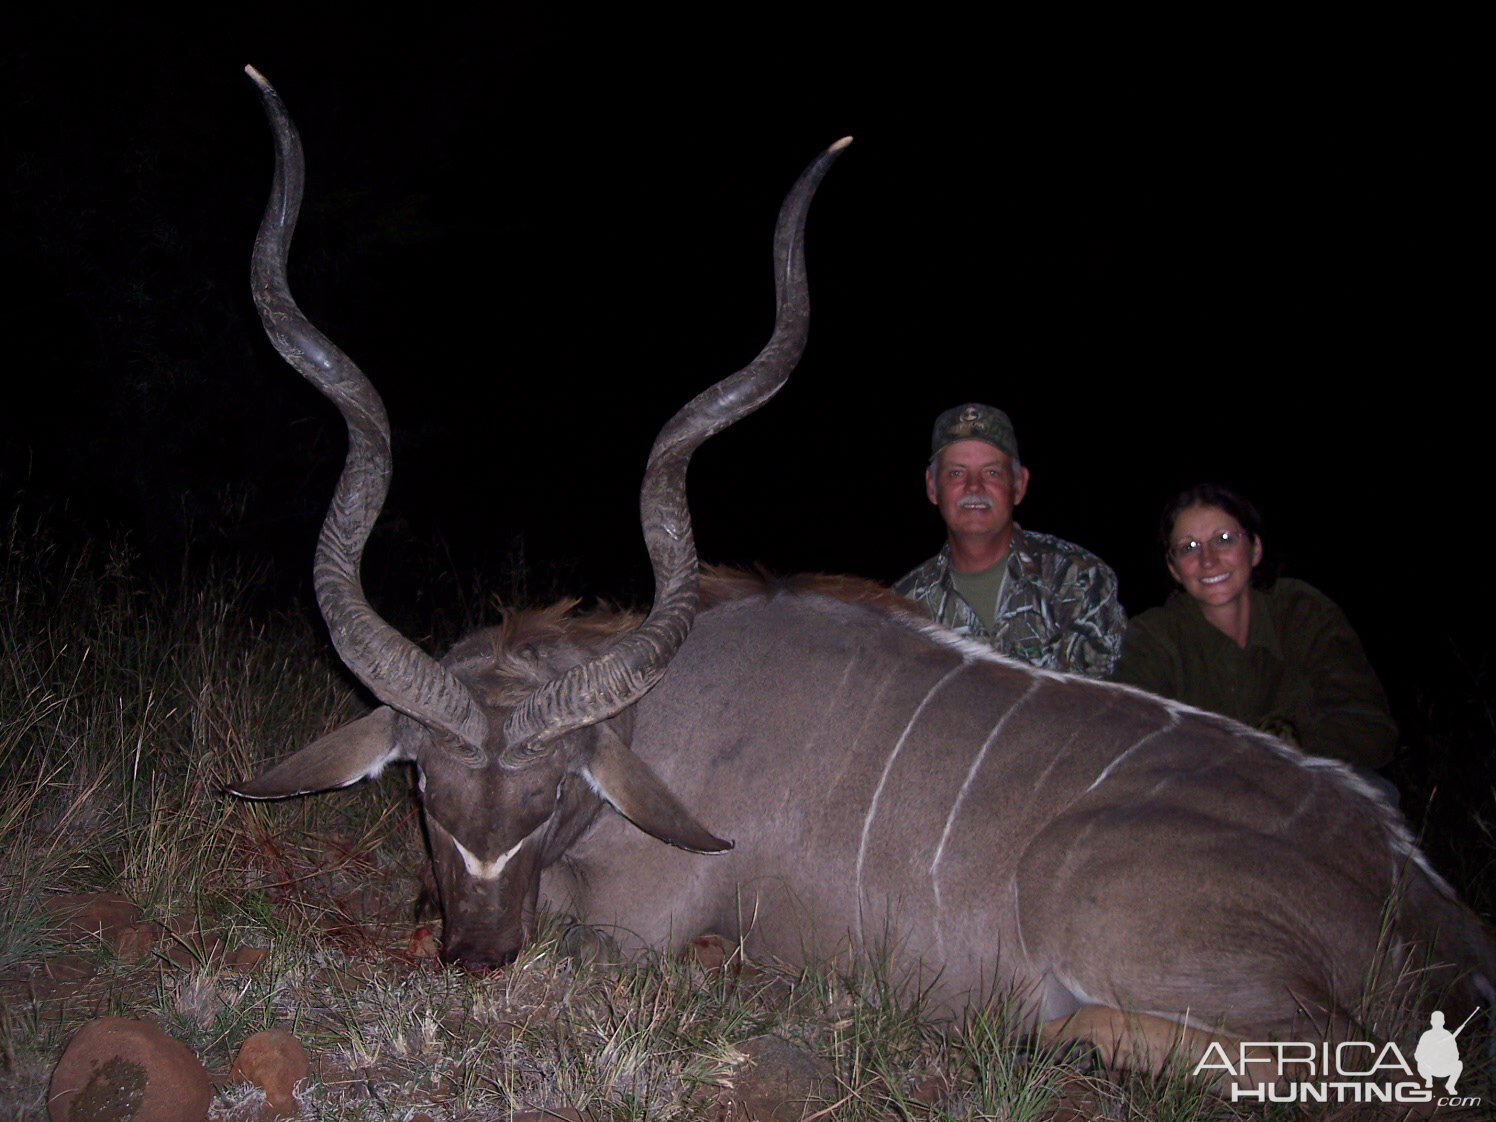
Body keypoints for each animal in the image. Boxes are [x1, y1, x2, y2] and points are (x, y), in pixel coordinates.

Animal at [236, 68, 1496, 1071]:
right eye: (421, 790)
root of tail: (1441, 940)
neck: (657, 720)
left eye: (549, 800)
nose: (481, 955)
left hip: (1104, 893)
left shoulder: (635, 919)